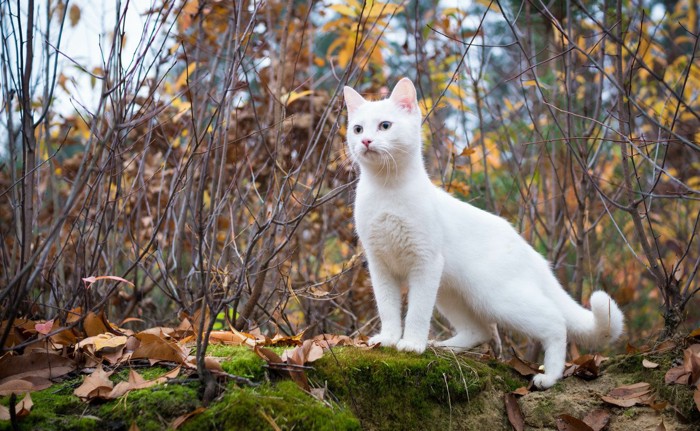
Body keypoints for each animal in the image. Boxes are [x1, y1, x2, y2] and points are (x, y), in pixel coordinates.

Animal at [344, 77, 624, 392]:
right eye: (358, 129)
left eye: (385, 125)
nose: (366, 141)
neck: (386, 190)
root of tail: (527, 249)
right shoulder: (380, 265)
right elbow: (388, 309)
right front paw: (389, 339)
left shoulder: (424, 263)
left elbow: (416, 312)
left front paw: (412, 344)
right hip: (451, 293)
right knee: (479, 331)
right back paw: (444, 347)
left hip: (495, 297)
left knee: (555, 324)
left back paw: (549, 377)